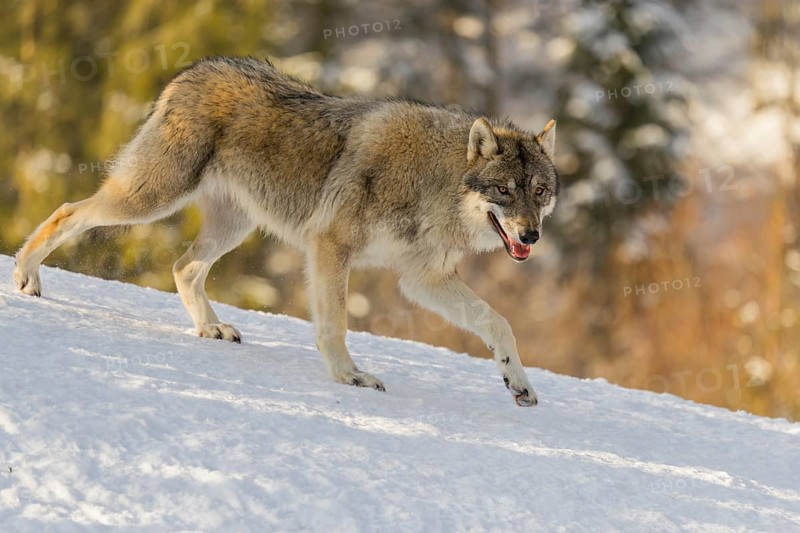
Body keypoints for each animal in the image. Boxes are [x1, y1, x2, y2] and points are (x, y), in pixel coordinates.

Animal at [14, 57, 558, 406]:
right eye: (504, 190)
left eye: (539, 192)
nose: (531, 237)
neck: (434, 183)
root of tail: (191, 71)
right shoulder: (330, 247)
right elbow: (335, 323)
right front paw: (349, 376)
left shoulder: (421, 280)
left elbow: (498, 323)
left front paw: (519, 383)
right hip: (151, 200)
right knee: (68, 211)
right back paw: (25, 276)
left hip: (232, 226)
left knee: (183, 266)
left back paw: (210, 328)